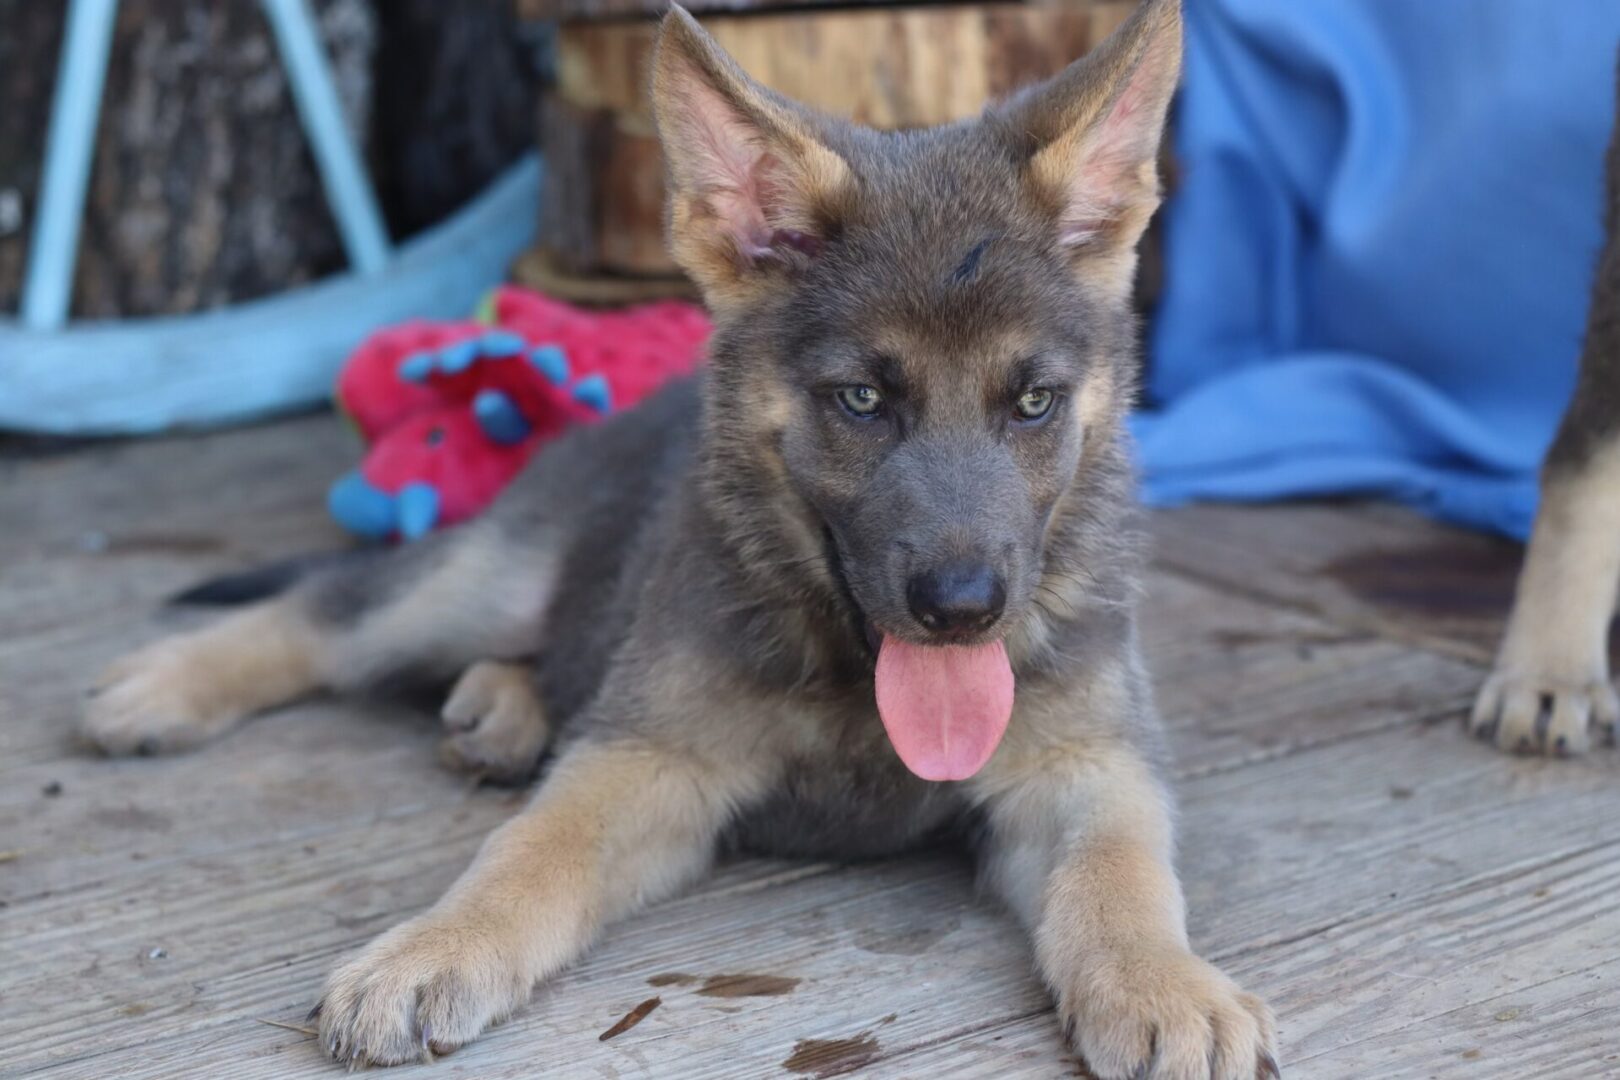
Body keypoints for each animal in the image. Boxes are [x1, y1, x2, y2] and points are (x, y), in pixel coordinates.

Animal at [85, 4, 1276, 1075]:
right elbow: (532, 850)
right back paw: (164, 685)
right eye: (861, 400)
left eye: (1033, 404)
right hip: (487, 575)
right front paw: (433, 947)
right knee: (337, 611)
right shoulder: (649, 755)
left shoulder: (1088, 763)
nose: (963, 608)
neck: (854, 675)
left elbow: (1123, 874)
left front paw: (1164, 985)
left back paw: (501, 710)